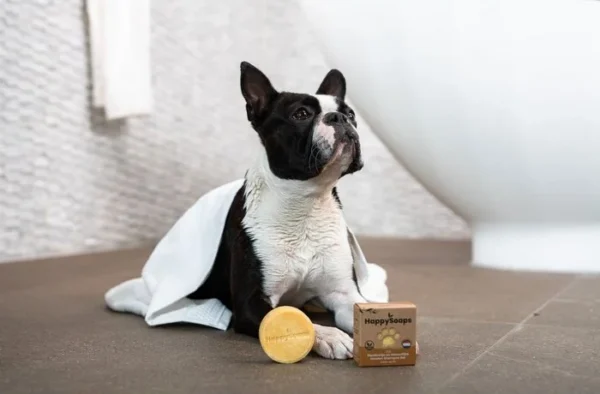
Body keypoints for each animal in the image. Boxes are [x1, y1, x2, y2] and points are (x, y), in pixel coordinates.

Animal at [188, 61, 366, 360]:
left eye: (351, 113)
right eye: (301, 114)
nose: (339, 118)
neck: (304, 203)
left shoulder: (342, 292)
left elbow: (363, 309)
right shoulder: (250, 304)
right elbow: (296, 320)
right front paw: (330, 335)